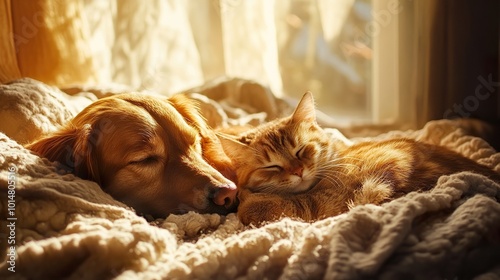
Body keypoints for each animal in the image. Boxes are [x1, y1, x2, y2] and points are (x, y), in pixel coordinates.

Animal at [221, 92, 500, 225]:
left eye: (301, 150)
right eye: (272, 166)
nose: (298, 171)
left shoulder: (330, 201)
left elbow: (285, 205)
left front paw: (249, 202)